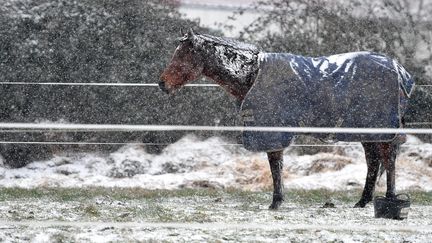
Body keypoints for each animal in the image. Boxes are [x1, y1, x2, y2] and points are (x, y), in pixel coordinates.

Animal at [159, 29, 416, 210]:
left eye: (183, 55)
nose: (162, 83)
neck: (252, 75)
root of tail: (400, 71)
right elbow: (277, 165)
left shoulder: (272, 131)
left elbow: (275, 165)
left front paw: (276, 202)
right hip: (366, 131)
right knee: (374, 162)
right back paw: (363, 201)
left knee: (388, 160)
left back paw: (389, 199)